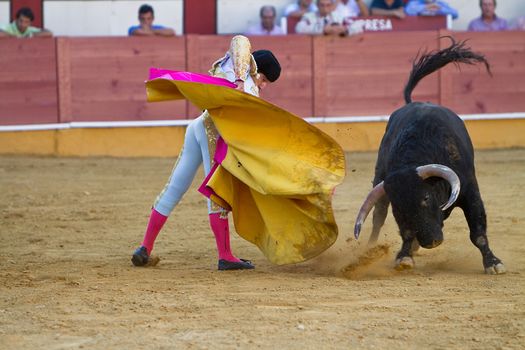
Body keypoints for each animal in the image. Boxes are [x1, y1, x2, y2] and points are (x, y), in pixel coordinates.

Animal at [352, 37, 504, 274]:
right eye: (399, 206)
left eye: (426, 197)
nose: (431, 242)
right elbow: (405, 231)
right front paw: (404, 256)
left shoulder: (471, 191)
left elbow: (478, 232)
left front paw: (493, 263)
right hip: (378, 178)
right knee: (378, 218)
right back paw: (371, 248)